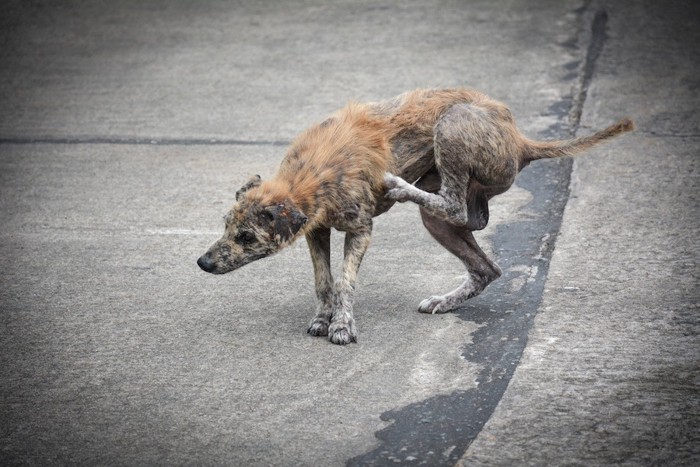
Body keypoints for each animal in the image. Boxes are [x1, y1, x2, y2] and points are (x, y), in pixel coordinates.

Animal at [197, 88, 636, 344]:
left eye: (247, 237)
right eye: (226, 225)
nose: (203, 262)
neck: (311, 174)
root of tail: (520, 138)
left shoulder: (359, 230)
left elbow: (345, 282)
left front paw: (342, 325)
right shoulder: (315, 232)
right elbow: (324, 281)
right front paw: (324, 318)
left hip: (453, 128)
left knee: (457, 206)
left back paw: (400, 185)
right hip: (441, 218)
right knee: (482, 253)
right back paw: (447, 298)